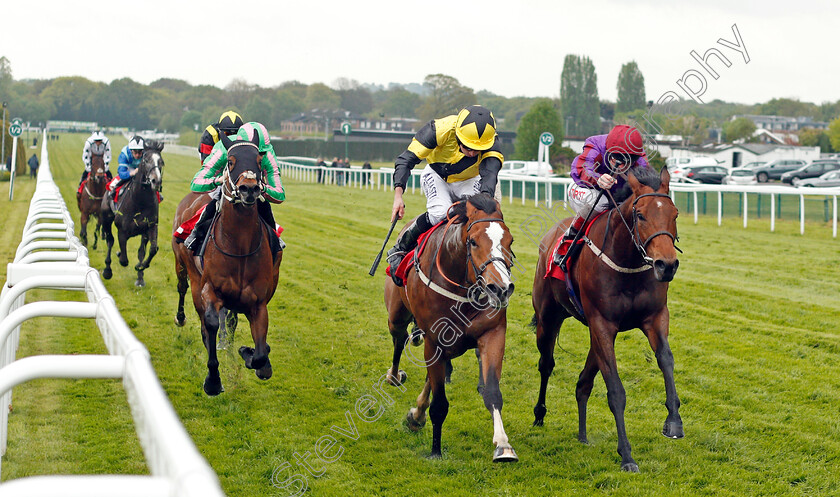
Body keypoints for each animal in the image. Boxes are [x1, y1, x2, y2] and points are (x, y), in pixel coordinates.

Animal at [101, 140, 165, 286]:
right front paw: (120, 255)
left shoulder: (150, 227)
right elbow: (124, 259)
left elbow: (151, 250)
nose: (156, 181)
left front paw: (140, 270)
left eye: (161, 162)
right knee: (110, 240)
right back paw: (107, 270)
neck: (140, 201)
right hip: (106, 218)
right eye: (146, 160)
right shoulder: (122, 231)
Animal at [171, 132, 282, 396]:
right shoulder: (209, 289)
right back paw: (183, 319)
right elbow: (211, 322)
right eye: (230, 162)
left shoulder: (258, 302)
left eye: (259, 161)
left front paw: (249, 353)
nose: (249, 188)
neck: (239, 245)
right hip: (185, 268)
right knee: (185, 292)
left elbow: (260, 355)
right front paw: (213, 380)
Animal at [382, 195, 516, 462]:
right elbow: (440, 404)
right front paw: (435, 450)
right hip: (397, 316)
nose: (500, 289)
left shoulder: (492, 334)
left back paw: (417, 414)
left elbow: (492, 392)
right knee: (399, 341)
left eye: (510, 241)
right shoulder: (434, 340)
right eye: (473, 241)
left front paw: (503, 445)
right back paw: (394, 376)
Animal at [532, 165, 684, 470]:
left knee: (583, 382)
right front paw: (626, 454)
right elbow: (615, 391)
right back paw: (540, 413)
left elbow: (666, 359)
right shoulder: (602, 324)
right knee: (546, 364)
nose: (667, 265)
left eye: (674, 214)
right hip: (547, 318)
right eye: (640, 215)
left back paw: (582, 434)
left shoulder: (655, 317)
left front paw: (674, 421)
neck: (628, 262)